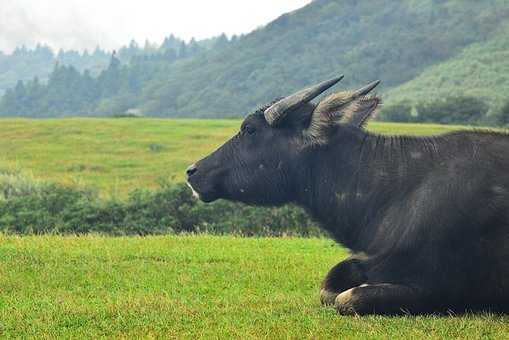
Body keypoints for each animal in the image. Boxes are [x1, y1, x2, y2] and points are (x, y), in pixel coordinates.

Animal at [187, 75, 508, 314]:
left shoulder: (439, 287)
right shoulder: (370, 259)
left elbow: (348, 298)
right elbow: (329, 288)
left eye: (250, 129)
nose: (192, 171)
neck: (396, 191)